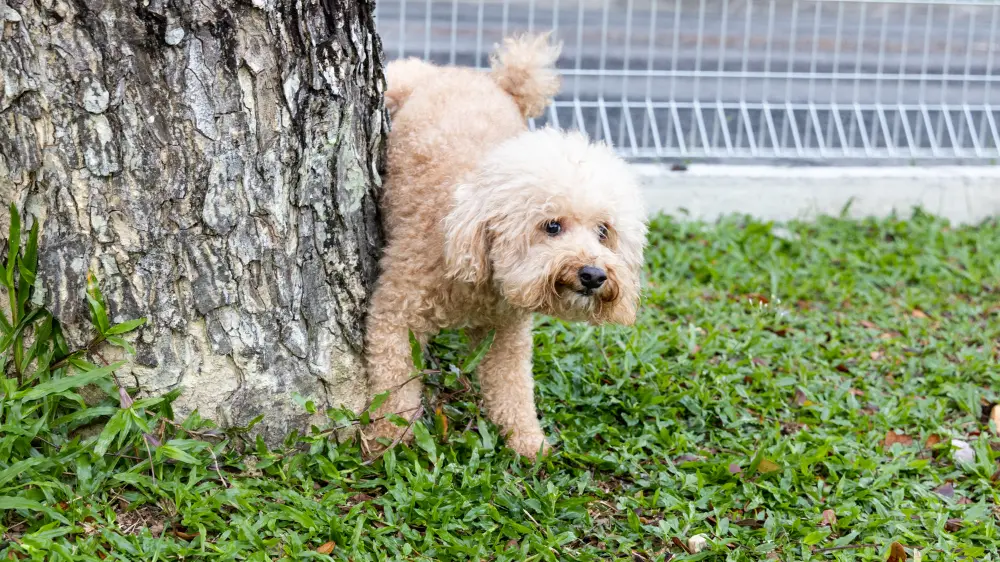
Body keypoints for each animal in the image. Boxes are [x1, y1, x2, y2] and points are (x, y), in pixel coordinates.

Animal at [366, 32, 648, 458]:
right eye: (552, 226)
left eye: (603, 231)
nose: (594, 274)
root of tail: (488, 78)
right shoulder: (394, 314)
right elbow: (393, 383)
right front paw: (388, 439)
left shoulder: (508, 331)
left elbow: (512, 386)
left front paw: (529, 442)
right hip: (401, 80)